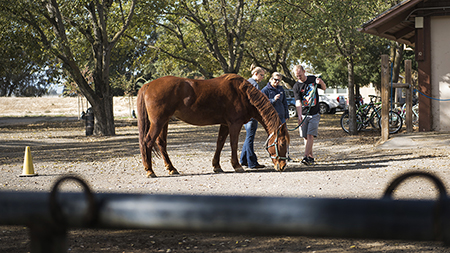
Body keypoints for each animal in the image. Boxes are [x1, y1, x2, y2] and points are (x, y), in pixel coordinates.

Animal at [137, 72, 290, 177]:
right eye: (282, 143)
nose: (282, 166)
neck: (243, 93)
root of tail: (148, 85)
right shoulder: (234, 124)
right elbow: (233, 144)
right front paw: (237, 166)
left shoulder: (225, 124)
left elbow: (220, 143)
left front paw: (216, 166)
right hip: (158, 122)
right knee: (147, 141)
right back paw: (149, 170)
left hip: (164, 122)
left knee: (161, 143)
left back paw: (171, 168)